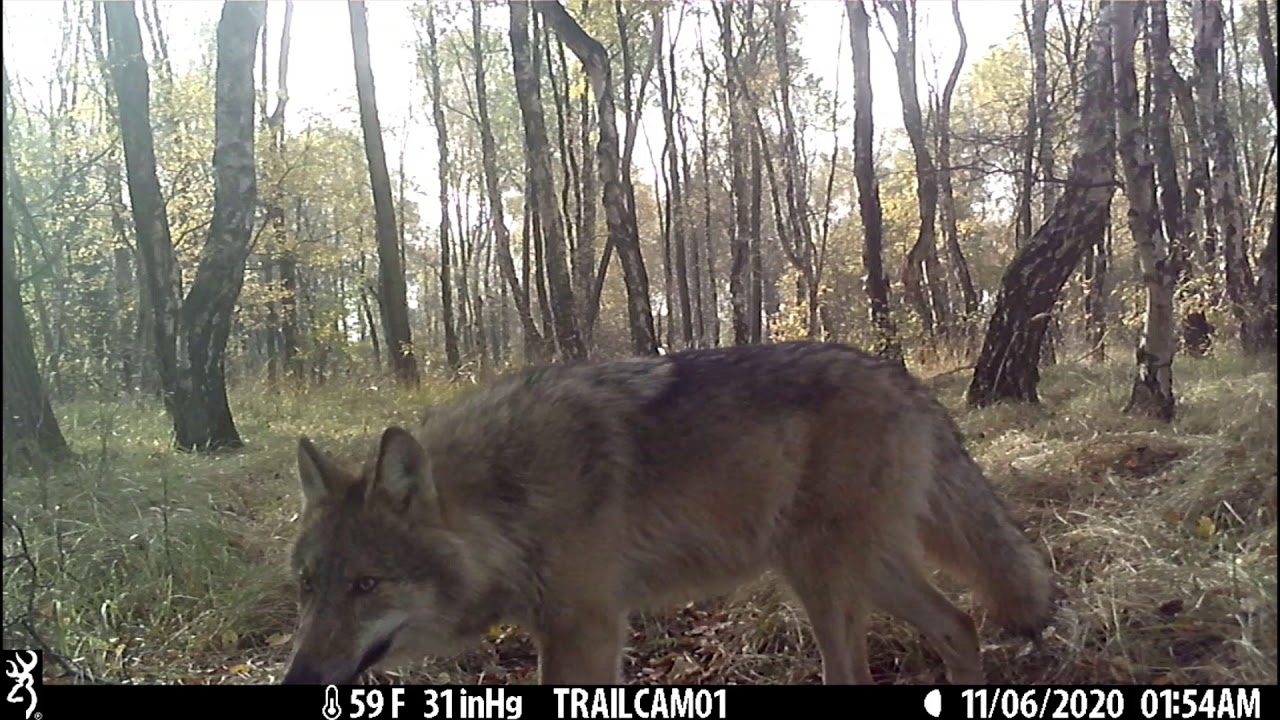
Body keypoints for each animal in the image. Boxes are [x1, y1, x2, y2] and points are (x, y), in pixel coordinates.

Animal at [280, 341, 1055, 685]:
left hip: (823, 580)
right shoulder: (573, 629)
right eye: (308, 587)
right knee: (958, 625)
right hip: (853, 571)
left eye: (366, 585)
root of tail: (905, 378)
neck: (508, 500)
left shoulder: (586, 628)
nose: (296, 682)